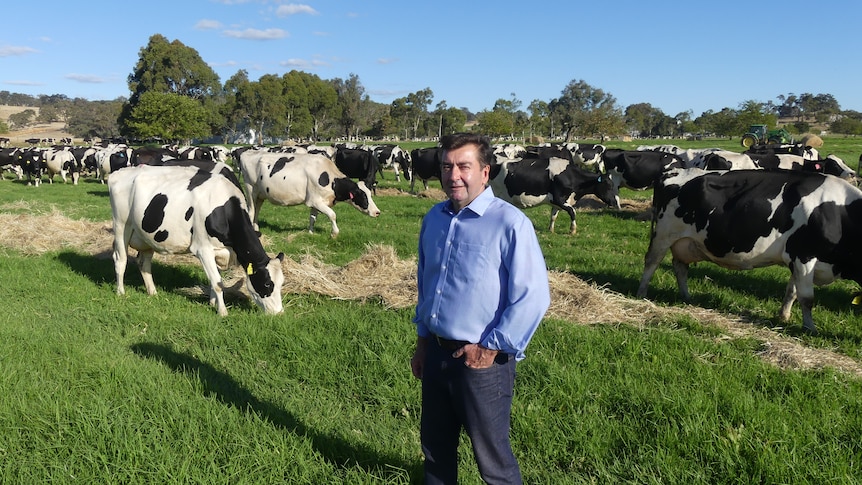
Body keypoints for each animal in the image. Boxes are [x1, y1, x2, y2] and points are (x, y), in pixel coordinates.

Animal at [108, 162, 286, 314]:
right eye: (267, 283)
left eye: (281, 283)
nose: (279, 313)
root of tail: (119, 172)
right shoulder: (203, 249)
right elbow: (218, 282)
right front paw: (222, 312)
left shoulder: (218, 251)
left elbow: (213, 280)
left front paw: (213, 303)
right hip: (121, 225)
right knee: (120, 259)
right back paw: (120, 292)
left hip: (146, 236)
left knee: (144, 263)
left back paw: (153, 292)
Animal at [240, 149, 382, 236]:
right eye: (362, 196)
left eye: (370, 194)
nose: (377, 212)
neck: (331, 179)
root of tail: (248, 152)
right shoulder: (315, 201)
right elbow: (332, 215)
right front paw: (334, 233)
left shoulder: (317, 201)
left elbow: (313, 218)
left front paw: (311, 233)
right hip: (250, 189)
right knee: (251, 210)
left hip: (260, 195)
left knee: (257, 210)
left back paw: (256, 228)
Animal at [490, 157, 624, 234]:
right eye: (608, 186)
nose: (615, 202)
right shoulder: (559, 199)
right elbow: (573, 212)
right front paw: (572, 230)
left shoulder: (556, 203)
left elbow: (553, 216)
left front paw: (551, 230)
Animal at [636, 166, 862, 332]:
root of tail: (671, 172)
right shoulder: (804, 255)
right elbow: (807, 298)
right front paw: (810, 328)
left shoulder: (797, 259)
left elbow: (792, 292)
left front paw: (784, 316)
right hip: (663, 235)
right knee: (651, 262)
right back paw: (641, 294)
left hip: (686, 242)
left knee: (680, 266)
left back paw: (687, 298)